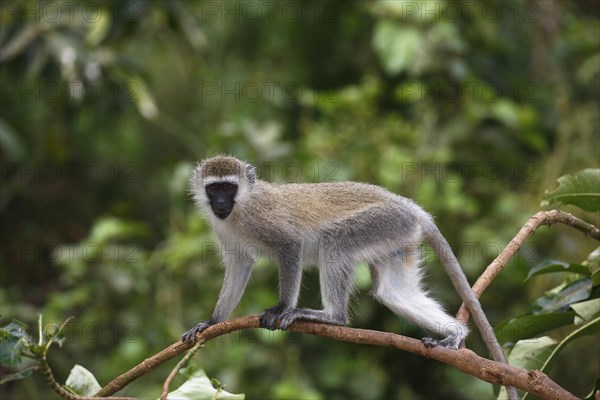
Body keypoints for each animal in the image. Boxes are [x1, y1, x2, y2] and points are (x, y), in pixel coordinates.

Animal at [182, 155, 506, 366]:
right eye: (213, 188)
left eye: (229, 187)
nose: (220, 204)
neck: (240, 209)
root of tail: (410, 206)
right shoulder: (224, 231)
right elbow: (240, 265)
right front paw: (212, 322)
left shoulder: (265, 222)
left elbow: (290, 246)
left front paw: (281, 307)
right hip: (400, 236)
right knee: (393, 293)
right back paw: (455, 333)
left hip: (384, 222)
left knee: (334, 241)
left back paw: (331, 316)